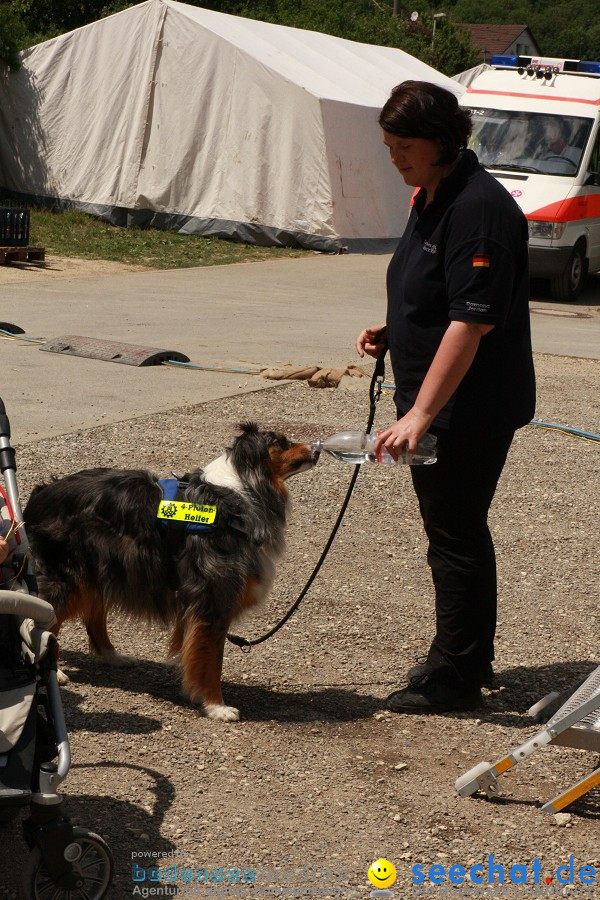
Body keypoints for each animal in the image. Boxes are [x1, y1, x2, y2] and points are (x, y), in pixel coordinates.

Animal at [22, 424, 314, 724]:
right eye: (282, 442)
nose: (316, 449)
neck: (237, 497)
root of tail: (39, 494)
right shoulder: (213, 600)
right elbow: (212, 661)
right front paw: (216, 706)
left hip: (101, 569)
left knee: (94, 618)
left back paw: (114, 657)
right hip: (65, 579)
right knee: (42, 622)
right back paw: (56, 671)